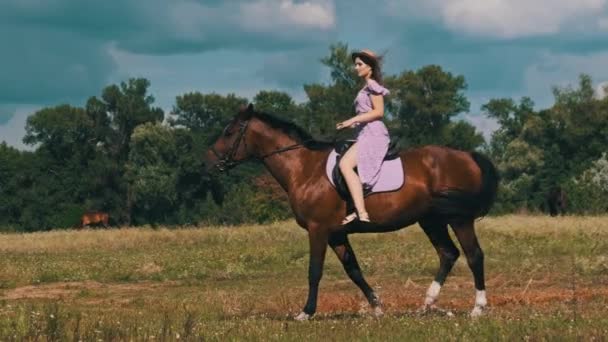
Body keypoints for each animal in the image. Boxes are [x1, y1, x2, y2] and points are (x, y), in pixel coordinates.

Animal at [205, 105, 498, 320]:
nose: (208, 162)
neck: (303, 167)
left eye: (229, 132)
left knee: (474, 256)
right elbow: (354, 270)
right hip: (431, 220)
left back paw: (477, 308)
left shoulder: (318, 229)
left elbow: (314, 271)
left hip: (459, 219)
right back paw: (426, 304)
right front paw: (377, 307)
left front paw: (306, 313)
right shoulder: (336, 234)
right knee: (448, 254)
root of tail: (468, 156)